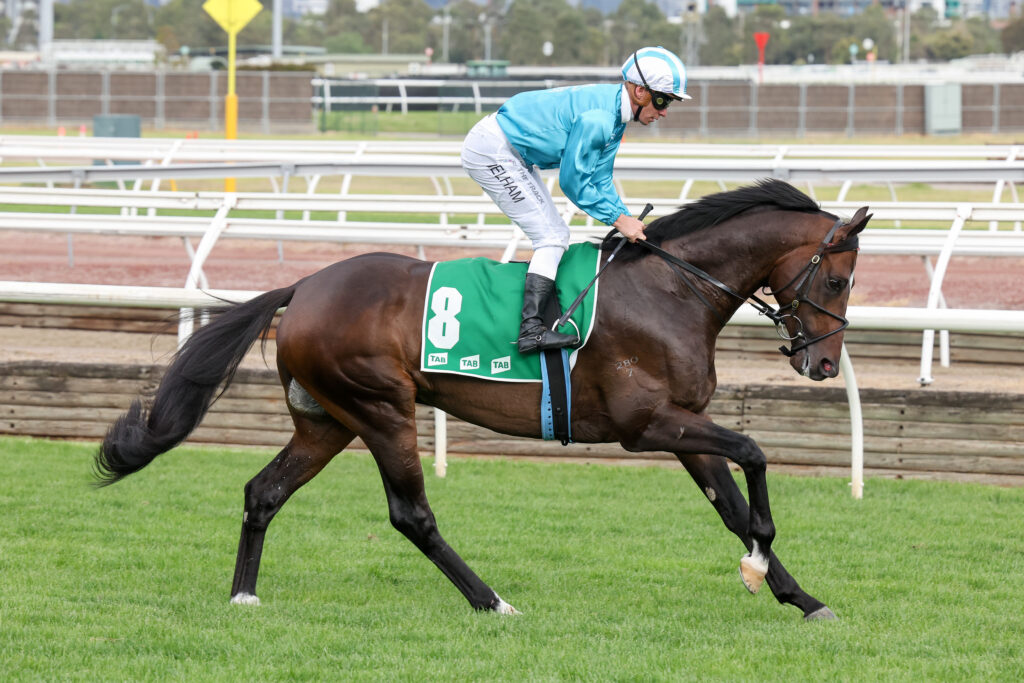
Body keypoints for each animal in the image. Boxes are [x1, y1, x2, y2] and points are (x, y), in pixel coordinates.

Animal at [95, 179, 869, 621]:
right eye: (838, 281)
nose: (825, 363)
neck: (671, 289)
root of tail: (304, 287)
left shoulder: (682, 425)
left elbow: (731, 505)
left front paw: (802, 598)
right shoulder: (648, 424)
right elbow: (755, 457)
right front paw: (762, 564)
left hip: (327, 421)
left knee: (263, 491)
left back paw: (244, 595)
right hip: (381, 408)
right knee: (411, 514)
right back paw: (492, 600)